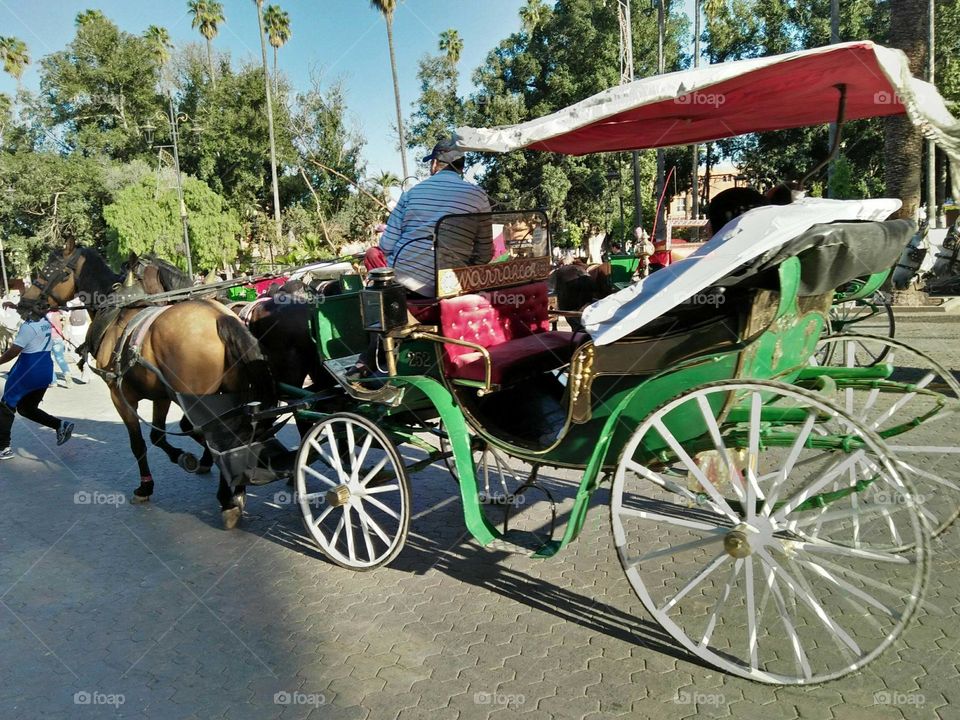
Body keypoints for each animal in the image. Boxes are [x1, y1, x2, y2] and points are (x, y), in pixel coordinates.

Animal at [20, 243, 276, 528]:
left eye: (48, 270)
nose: (23, 304)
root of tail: (220, 317)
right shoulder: (162, 395)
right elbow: (158, 435)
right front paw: (185, 458)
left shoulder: (120, 395)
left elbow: (139, 443)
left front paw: (145, 486)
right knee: (232, 433)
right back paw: (236, 489)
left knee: (219, 434)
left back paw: (228, 497)